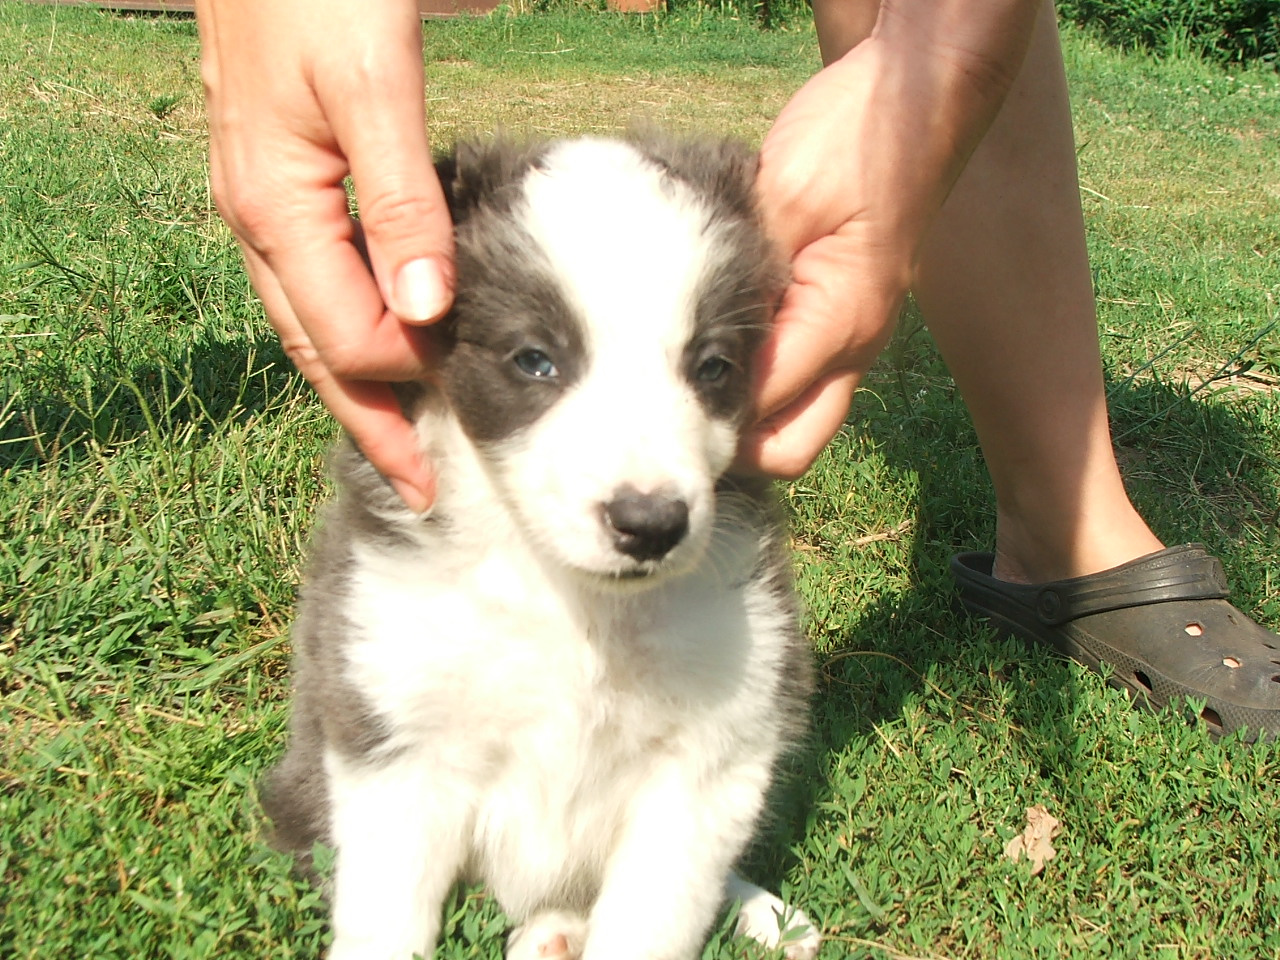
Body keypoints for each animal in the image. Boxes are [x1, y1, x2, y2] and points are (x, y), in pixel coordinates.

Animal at [263, 133, 819, 960]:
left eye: (713, 366)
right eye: (535, 360)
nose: (650, 523)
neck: (570, 601)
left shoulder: (714, 755)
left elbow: (655, 918)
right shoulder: (394, 732)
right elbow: (386, 916)